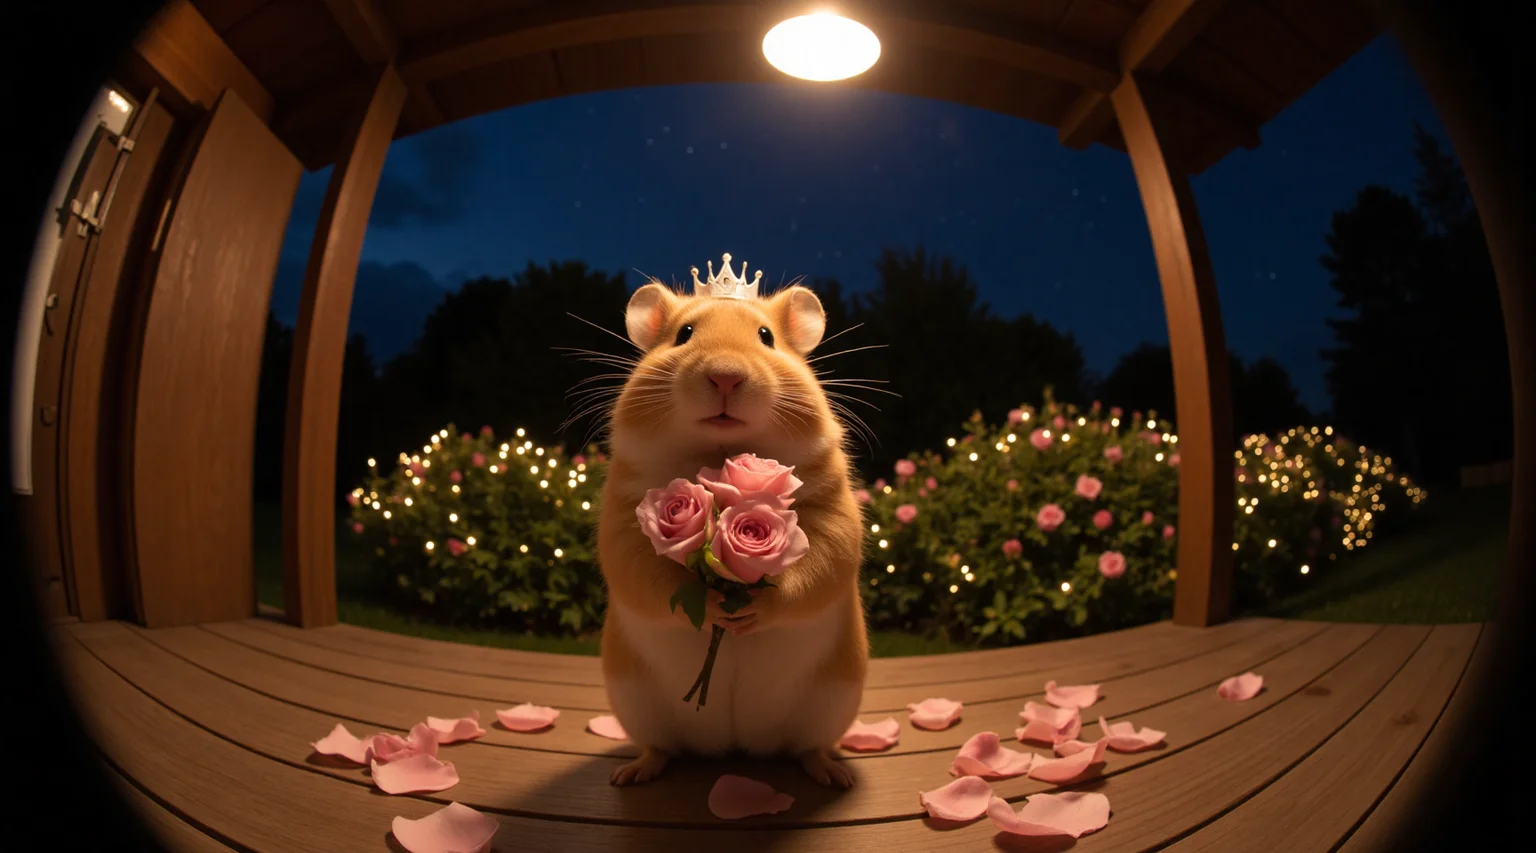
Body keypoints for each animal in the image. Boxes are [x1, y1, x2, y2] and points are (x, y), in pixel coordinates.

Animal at [596, 265, 868, 788]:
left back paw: (832, 774)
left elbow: (814, 573)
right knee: (660, 747)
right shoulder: (623, 523)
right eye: (684, 334)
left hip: (834, 703)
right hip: (633, 702)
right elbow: (650, 579)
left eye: (766, 337)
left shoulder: (834, 518)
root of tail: (735, 746)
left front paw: (748, 614)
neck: (720, 453)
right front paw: (717, 613)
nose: (725, 375)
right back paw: (631, 774)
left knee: (809, 748)